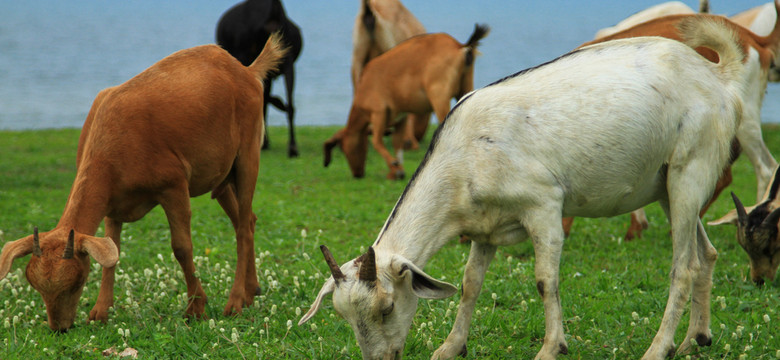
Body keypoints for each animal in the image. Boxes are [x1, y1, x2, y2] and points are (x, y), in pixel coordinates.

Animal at [0, 34, 286, 332]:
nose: (60, 327)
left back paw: (236, 302)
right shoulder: (112, 202)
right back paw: (252, 291)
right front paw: (100, 311)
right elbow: (113, 250)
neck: (114, 140)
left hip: (248, 153)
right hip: (222, 176)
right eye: (36, 287)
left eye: (77, 282)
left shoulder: (173, 185)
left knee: (242, 227)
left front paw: (196, 308)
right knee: (247, 219)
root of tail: (247, 70)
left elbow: (182, 248)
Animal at [322, 24, 488, 179]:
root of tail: (460, 46)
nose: (357, 174)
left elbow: (377, 140)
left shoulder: (378, 111)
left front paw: (394, 166)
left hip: (438, 94)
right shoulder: (401, 117)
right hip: (466, 87)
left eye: (343, 148)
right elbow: (397, 142)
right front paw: (398, 171)